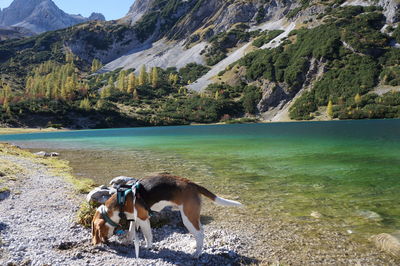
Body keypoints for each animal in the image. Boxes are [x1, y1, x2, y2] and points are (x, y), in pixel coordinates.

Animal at [91, 172, 241, 258]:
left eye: (98, 231)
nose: (102, 244)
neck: (122, 200)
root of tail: (191, 183)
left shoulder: (144, 218)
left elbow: (148, 235)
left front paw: (148, 247)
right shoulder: (134, 218)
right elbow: (131, 231)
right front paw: (128, 241)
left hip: (187, 217)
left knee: (199, 233)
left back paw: (197, 254)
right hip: (191, 216)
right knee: (201, 232)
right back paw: (196, 247)